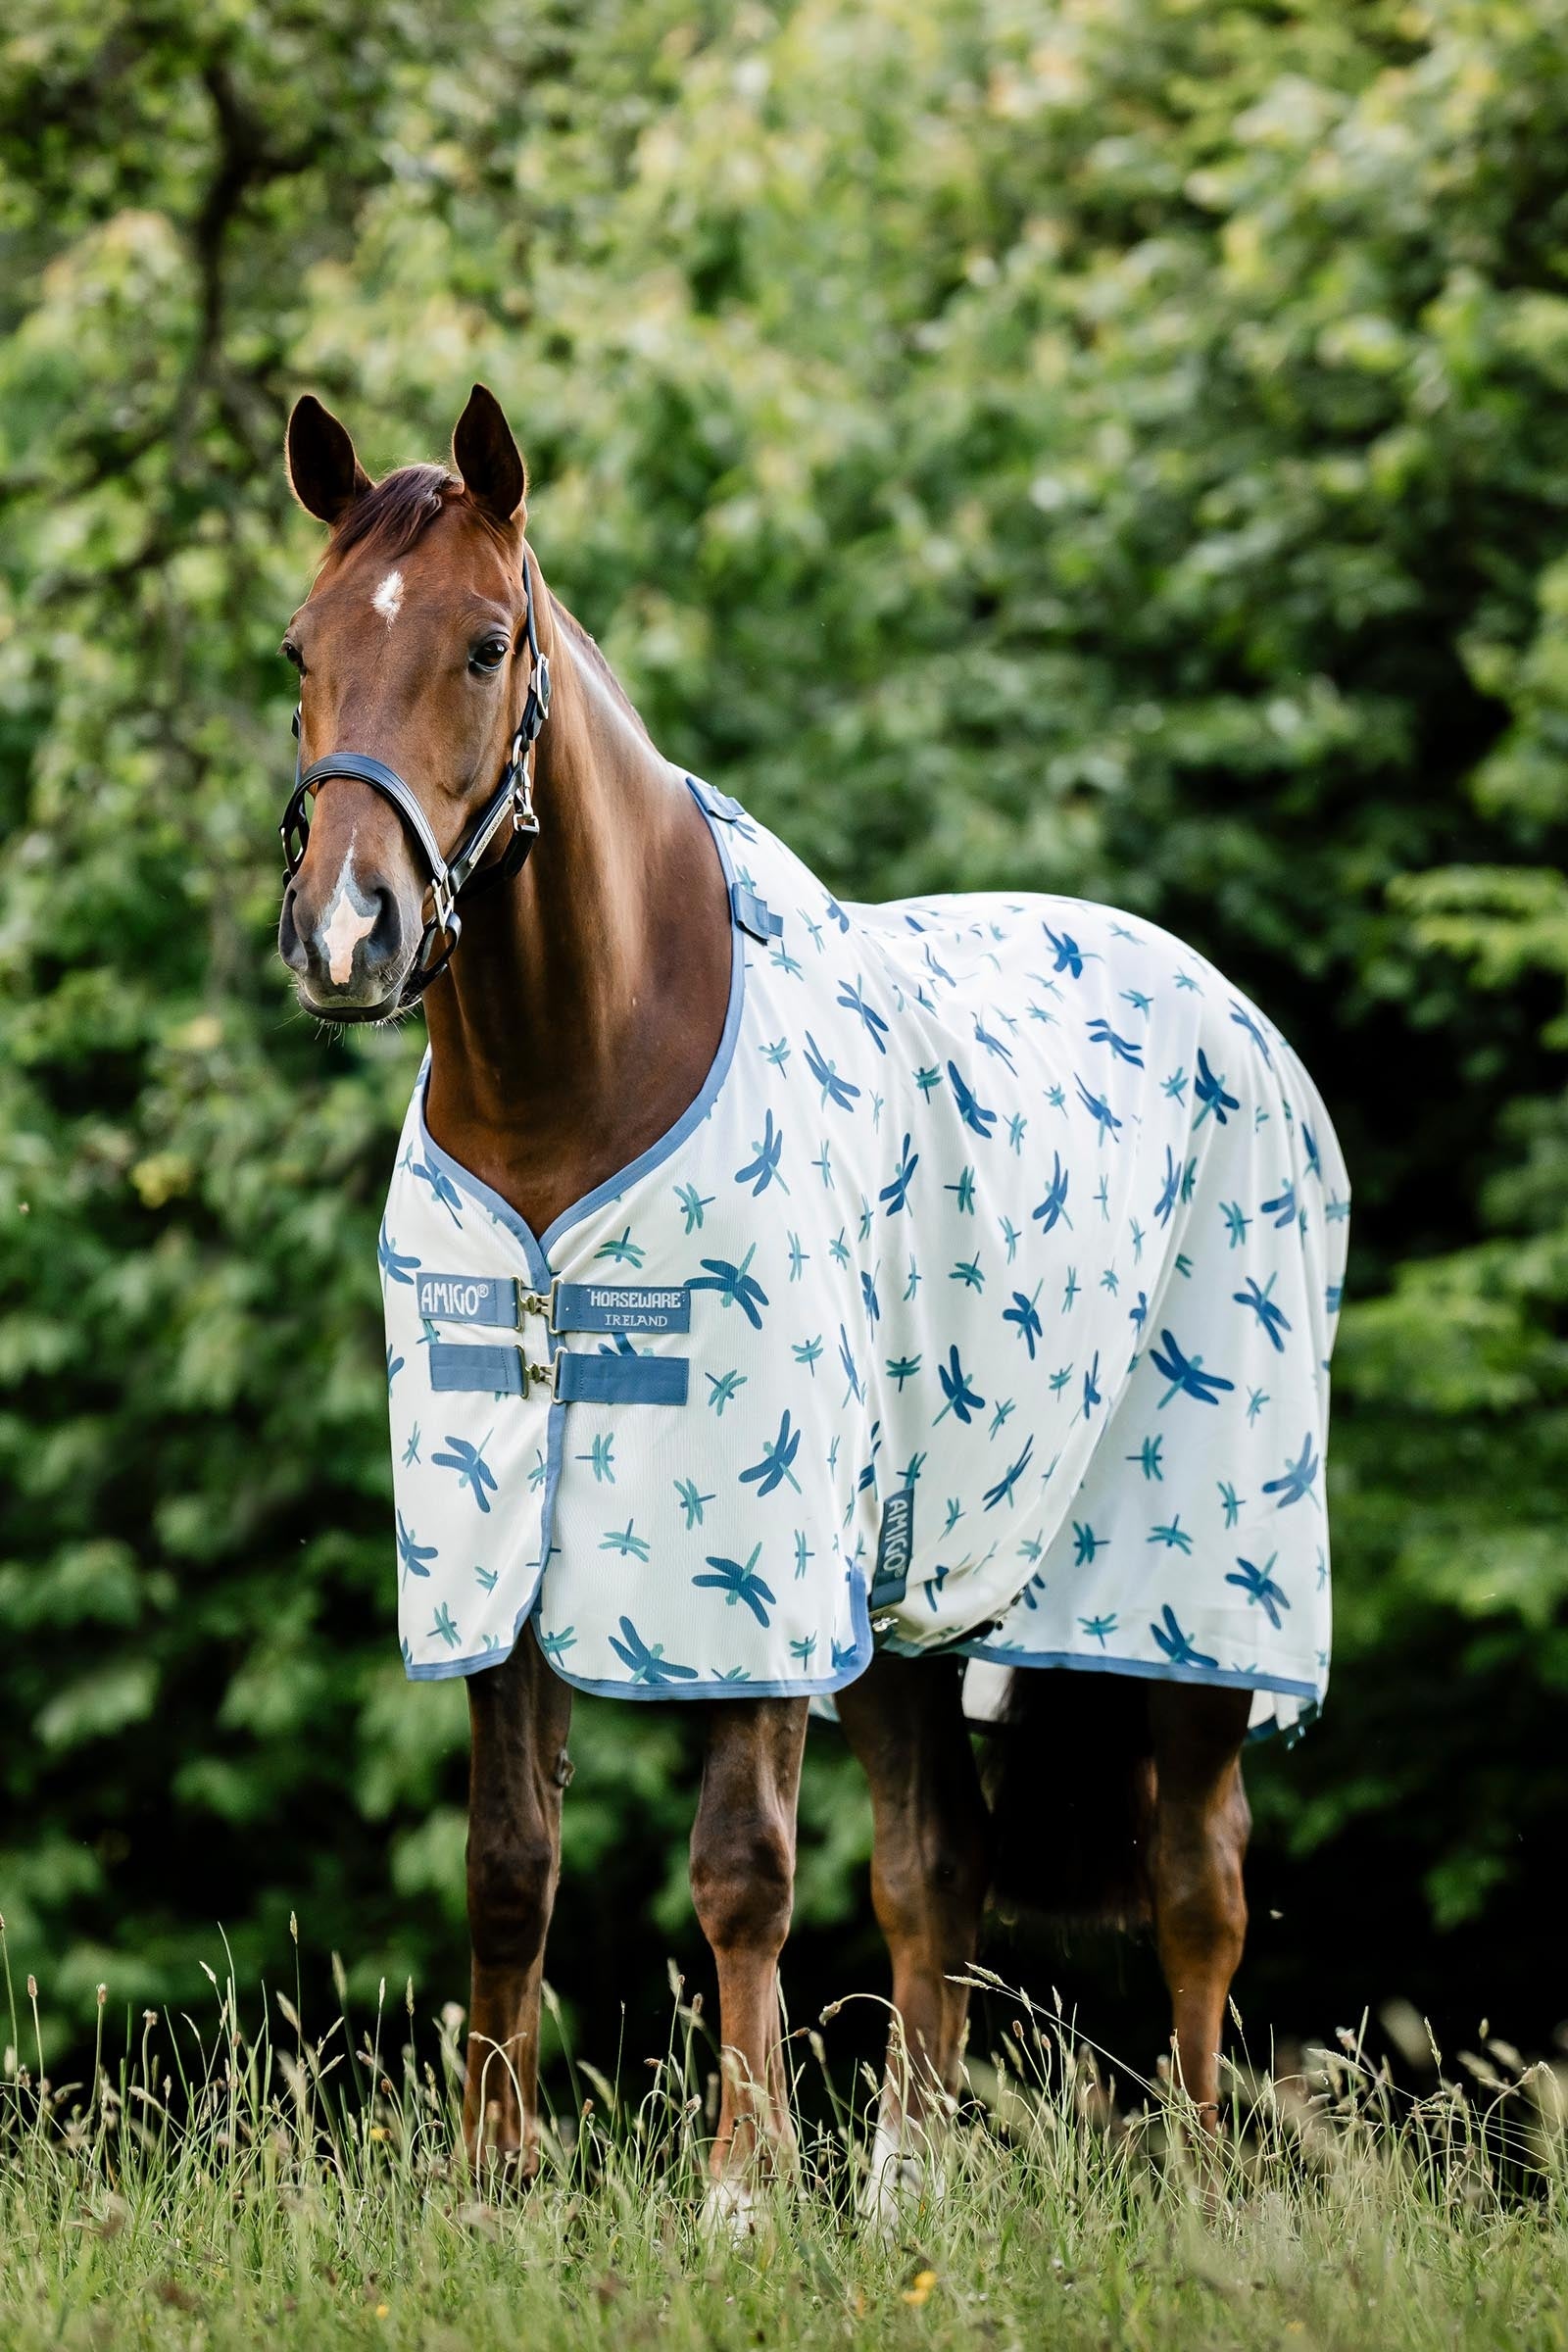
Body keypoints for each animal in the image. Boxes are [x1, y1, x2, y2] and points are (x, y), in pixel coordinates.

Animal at [276, 385, 1348, 2220]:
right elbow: (510, 1865)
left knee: (1199, 1884)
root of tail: (1230, 1011)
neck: (582, 1090)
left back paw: (1207, 2196)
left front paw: (738, 2192)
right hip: (916, 1598)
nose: (350, 933)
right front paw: (493, 2185)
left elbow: (740, 1874)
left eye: (487, 645)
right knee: (937, 1865)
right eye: (300, 646)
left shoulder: (754, 1580)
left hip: (1193, 1606)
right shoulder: (498, 1553)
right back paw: (908, 2189)